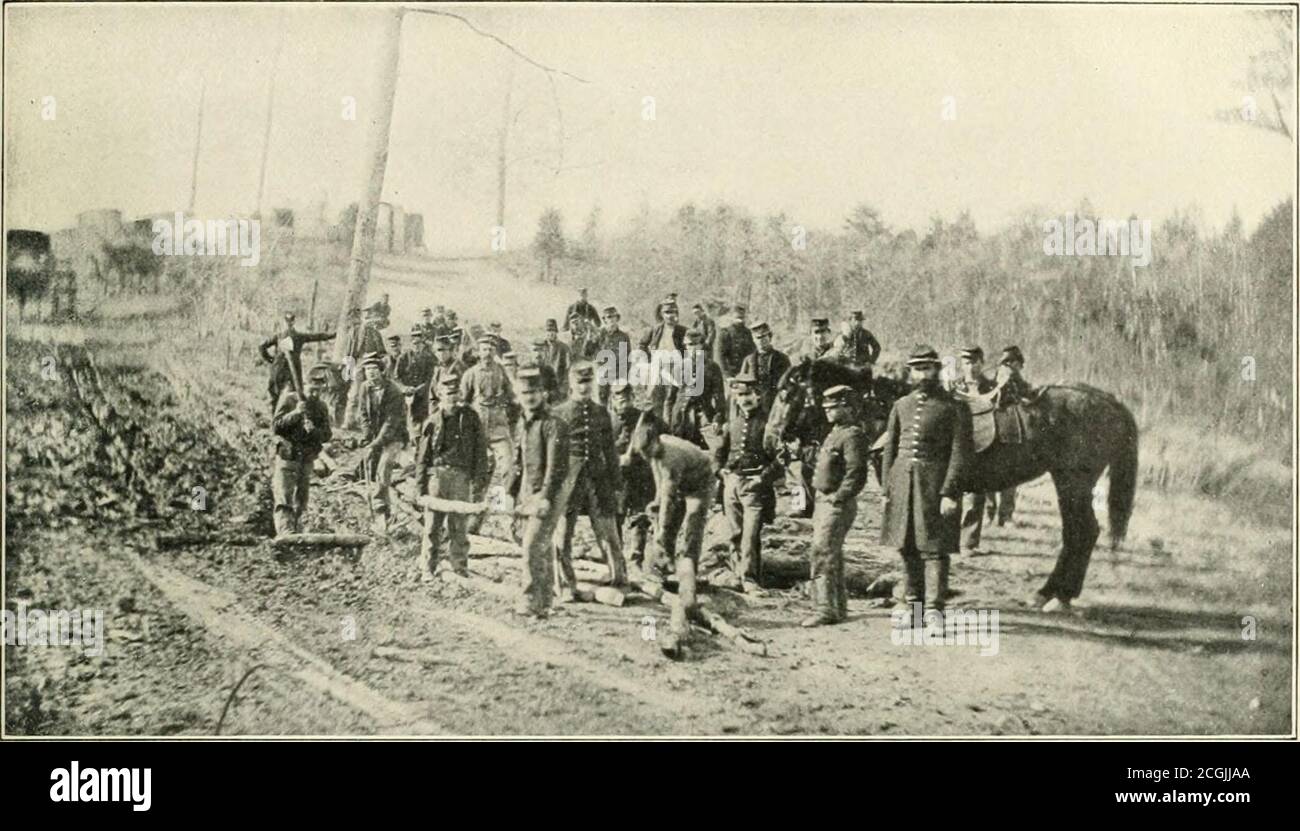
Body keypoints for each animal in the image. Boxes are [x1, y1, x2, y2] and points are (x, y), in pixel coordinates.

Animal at [764, 361, 1133, 608]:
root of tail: (1111, 401)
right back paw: (1054, 593)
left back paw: (1056, 595)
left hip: (1072, 481)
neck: (885, 407)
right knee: (1080, 533)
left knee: (1082, 532)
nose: (770, 441)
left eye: (786, 393)